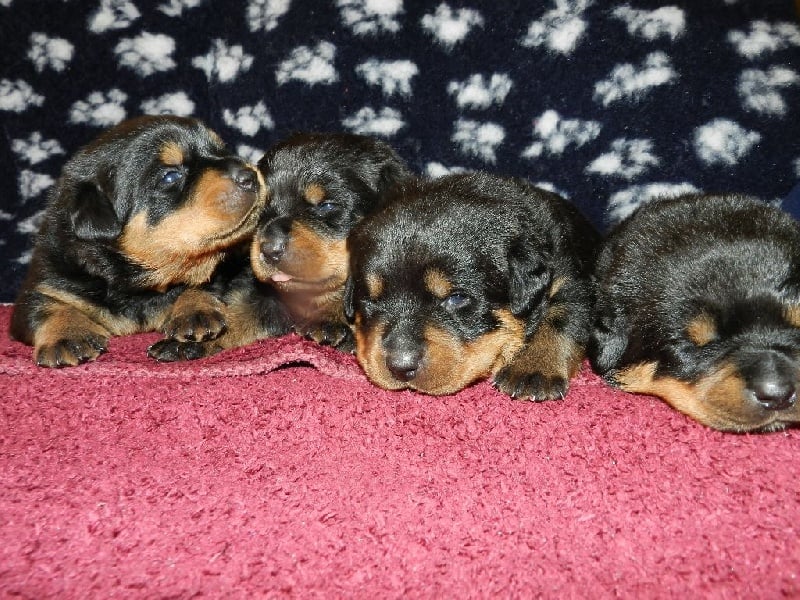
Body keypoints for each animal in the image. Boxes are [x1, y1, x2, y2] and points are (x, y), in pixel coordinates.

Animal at [10, 115, 266, 367]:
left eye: (222, 150)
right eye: (170, 176)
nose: (250, 175)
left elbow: (207, 285)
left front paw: (195, 309)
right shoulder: (46, 279)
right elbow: (45, 306)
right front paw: (68, 336)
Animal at [147, 131, 412, 361]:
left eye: (326, 206)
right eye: (261, 207)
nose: (270, 248)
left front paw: (329, 317)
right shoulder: (262, 296)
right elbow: (239, 313)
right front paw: (187, 342)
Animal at [345, 172, 600, 400]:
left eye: (457, 298)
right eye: (370, 299)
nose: (400, 365)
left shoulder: (570, 279)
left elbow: (561, 319)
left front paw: (533, 369)